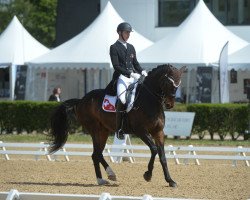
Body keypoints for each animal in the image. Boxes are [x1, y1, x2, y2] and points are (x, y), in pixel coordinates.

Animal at [48, 64, 186, 188]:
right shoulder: (140, 130)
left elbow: (162, 156)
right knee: (96, 154)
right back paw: (107, 177)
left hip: (103, 131)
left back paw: (105, 178)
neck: (149, 101)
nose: (169, 104)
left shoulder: (158, 132)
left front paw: (170, 181)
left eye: (179, 84)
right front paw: (148, 175)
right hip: (95, 130)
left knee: (96, 154)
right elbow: (154, 149)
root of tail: (81, 100)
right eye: (169, 83)